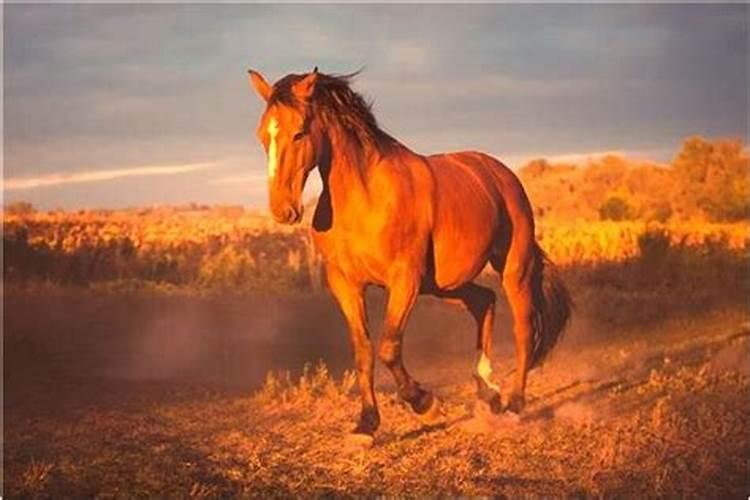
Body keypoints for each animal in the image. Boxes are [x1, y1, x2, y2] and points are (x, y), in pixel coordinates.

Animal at [247, 67, 568, 446]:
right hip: (445, 286)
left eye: (299, 132)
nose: (283, 210)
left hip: (512, 268)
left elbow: (388, 347)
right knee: (484, 301)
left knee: (523, 327)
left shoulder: (404, 281)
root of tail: (501, 174)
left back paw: (514, 404)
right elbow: (363, 350)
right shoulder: (345, 284)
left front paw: (425, 404)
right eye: (262, 135)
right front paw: (366, 425)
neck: (365, 198)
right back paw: (487, 390)